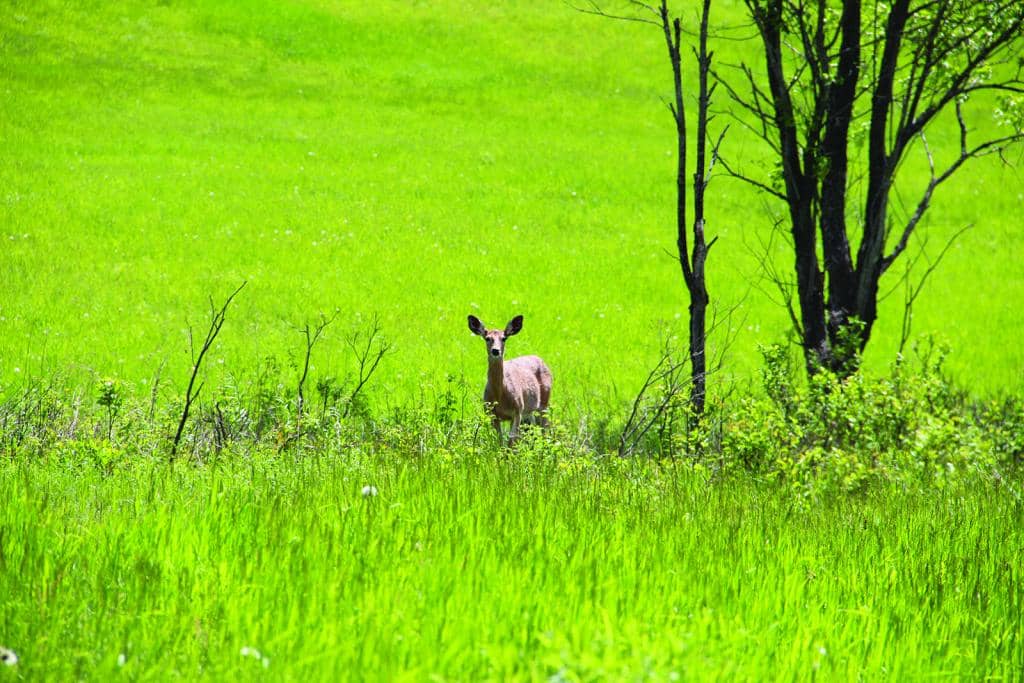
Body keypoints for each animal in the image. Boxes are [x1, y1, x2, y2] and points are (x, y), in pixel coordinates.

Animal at [468, 315, 552, 448]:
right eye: (487, 338)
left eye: (504, 338)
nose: (495, 351)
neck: (500, 396)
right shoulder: (492, 414)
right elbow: (501, 442)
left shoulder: (517, 411)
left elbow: (511, 442)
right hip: (528, 413)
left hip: (544, 404)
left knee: (545, 431)